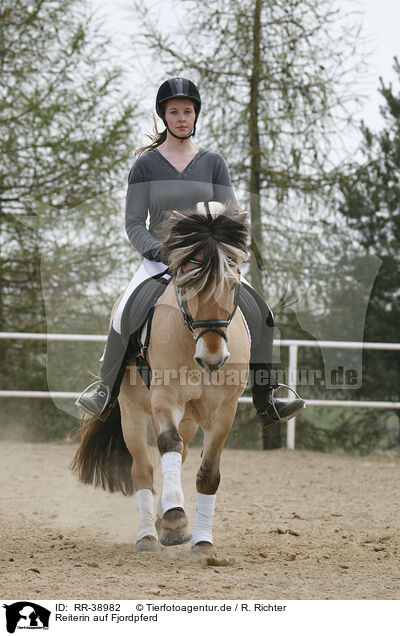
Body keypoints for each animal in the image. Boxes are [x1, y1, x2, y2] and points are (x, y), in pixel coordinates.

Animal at [70, 201, 248, 560]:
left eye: (233, 285)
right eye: (187, 285)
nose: (212, 357)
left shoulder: (225, 410)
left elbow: (208, 472)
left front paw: (202, 542)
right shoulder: (165, 399)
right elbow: (167, 445)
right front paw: (177, 519)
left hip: (191, 420)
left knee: (181, 455)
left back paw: (165, 522)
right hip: (132, 412)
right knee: (143, 469)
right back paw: (149, 535)